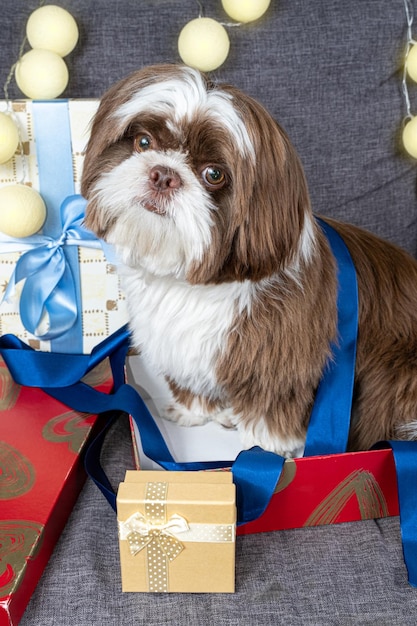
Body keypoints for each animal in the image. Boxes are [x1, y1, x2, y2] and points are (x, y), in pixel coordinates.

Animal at [79, 63, 416, 456]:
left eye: (214, 174)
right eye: (143, 143)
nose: (163, 175)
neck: (195, 284)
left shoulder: (280, 364)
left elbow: (272, 411)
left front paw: (266, 451)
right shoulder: (186, 350)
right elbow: (194, 384)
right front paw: (193, 411)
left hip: (393, 374)